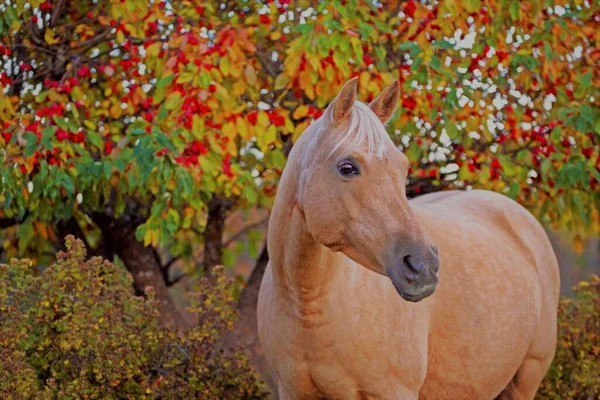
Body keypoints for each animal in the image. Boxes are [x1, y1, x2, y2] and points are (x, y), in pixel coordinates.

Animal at [255, 79, 560, 400]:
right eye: (347, 167)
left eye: (403, 168)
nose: (423, 266)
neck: (307, 304)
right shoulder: (292, 391)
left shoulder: (394, 391)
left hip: (527, 375)